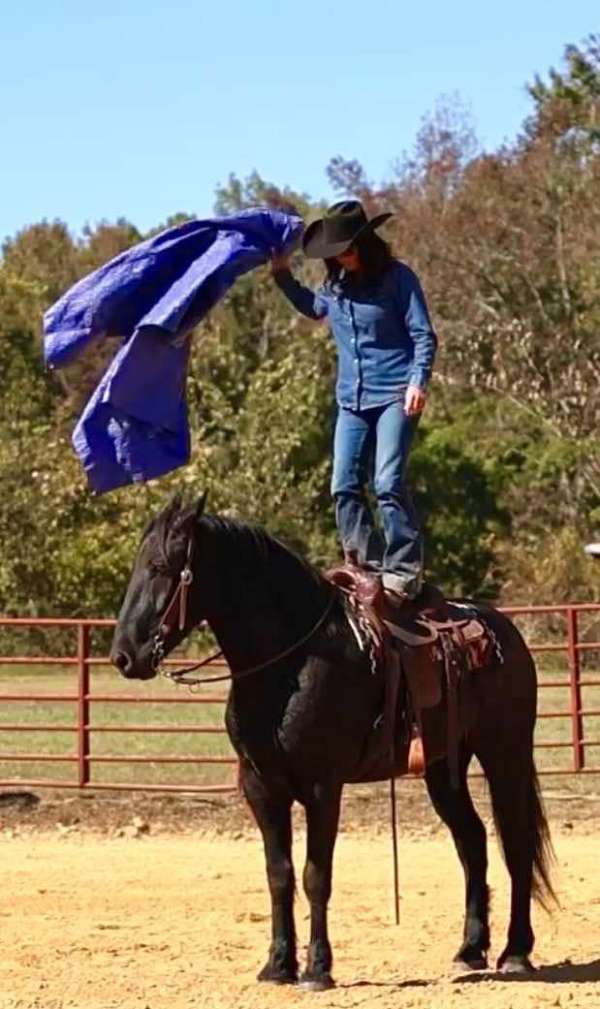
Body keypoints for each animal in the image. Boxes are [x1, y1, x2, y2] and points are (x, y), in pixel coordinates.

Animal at [111, 494, 552, 984]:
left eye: (160, 565)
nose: (123, 655)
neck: (290, 665)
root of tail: (504, 630)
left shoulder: (323, 786)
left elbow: (315, 875)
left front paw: (317, 968)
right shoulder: (261, 787)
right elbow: (279, 874)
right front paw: (277, 964)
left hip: (505, 754)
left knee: (516, 845)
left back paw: (516, 951)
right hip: (443, 767)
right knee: (472, 841)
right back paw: (470, 949)